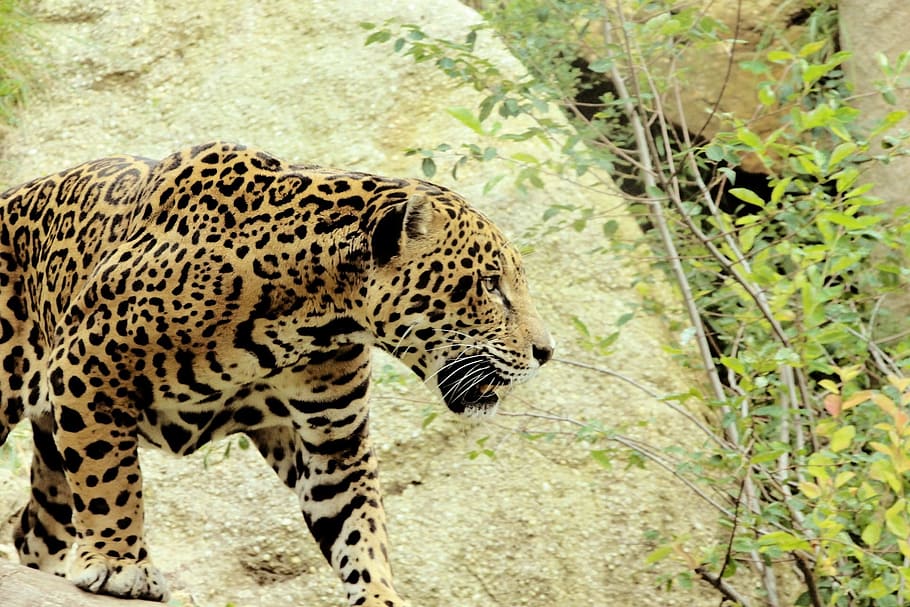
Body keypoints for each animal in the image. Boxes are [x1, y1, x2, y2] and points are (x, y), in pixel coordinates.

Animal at [0, 141, 554, 605]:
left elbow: (360, 527)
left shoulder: (334, 442)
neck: (317, 312)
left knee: (33, 525)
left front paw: (380, 596)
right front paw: (121, 565)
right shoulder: (88, 368)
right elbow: (111, 478)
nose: (547, 351)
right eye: (490, 284)